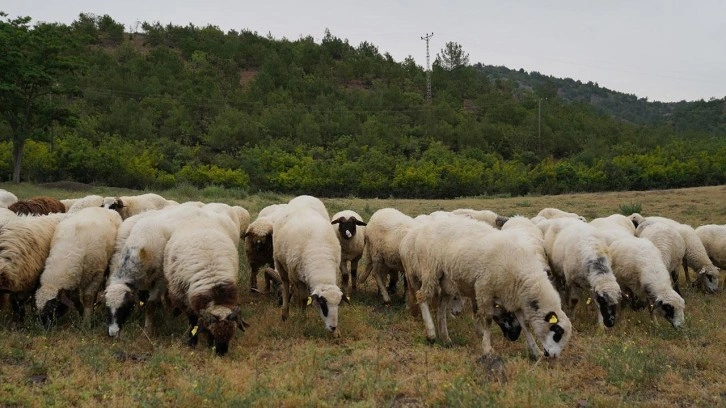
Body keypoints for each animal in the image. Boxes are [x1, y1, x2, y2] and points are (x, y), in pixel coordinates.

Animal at [164, 215, 249, 356]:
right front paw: (192, 342)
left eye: (231, 335)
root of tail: (199, 218)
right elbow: (193, 322)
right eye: (211, 333)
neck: (213, 283)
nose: (221, 353)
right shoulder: (186, 300)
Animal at [404, 217, 576, 356]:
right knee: (421, 296)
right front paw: (487, 348)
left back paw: (445, 338)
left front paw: (536, 352)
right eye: (557, 333)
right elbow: (487, 319)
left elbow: (525, 325)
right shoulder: (484, 288)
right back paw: (431, 333)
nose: (553, 356)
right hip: (430, 270)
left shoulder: (513, 297)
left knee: (441, 307)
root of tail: (421, 231)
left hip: (446, 281)